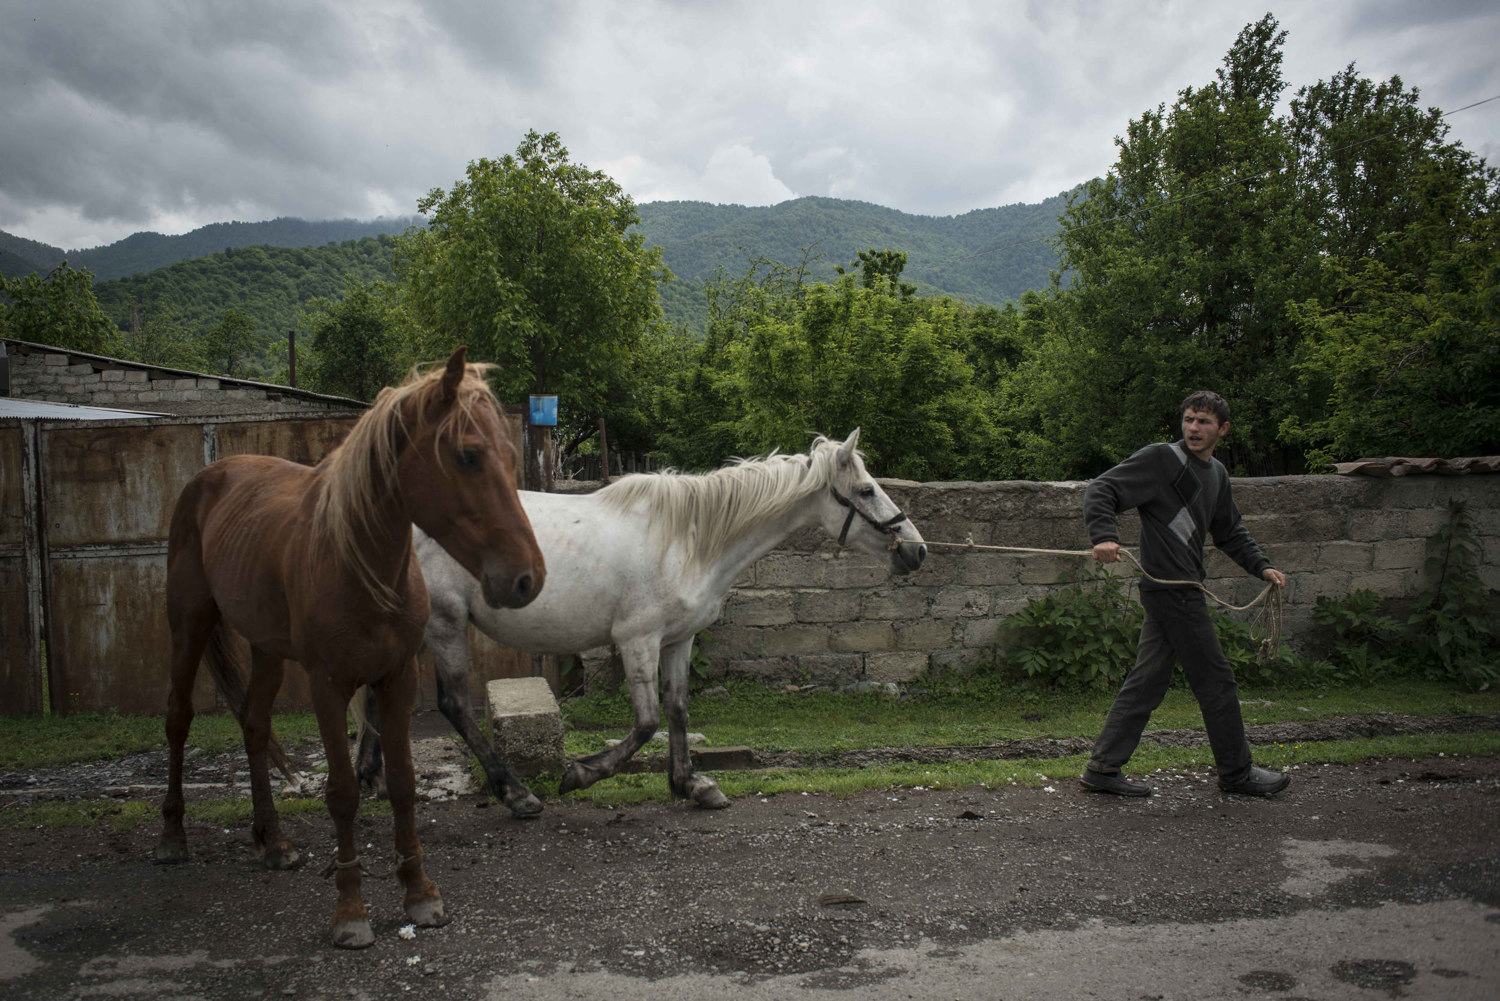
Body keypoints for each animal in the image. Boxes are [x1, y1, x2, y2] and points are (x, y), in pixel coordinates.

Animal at [155, 348, 543, 954]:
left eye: (508, 454)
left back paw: (273, 842)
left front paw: (420, 894)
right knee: (178, 719)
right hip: (190, 625)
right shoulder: (328, 686)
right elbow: (341, 793)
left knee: (254, 726)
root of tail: (211, 475)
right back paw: (173, 837)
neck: (359, 562)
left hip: (267, 649)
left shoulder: (396, 677)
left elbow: (403, 785)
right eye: (468, 455)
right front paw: (350, 912)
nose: (527, 578)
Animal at [357, 432, 918, 816]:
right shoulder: (637, 641)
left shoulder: (678, 641)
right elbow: (647, 721)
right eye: (866, 490)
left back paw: (371, 779)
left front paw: (693, 785)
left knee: (377, 695)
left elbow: (678, 711)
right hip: (446, 624)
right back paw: (516, 794)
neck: (689, 539)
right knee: (452, 704)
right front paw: (581, 774)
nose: (916, 550)